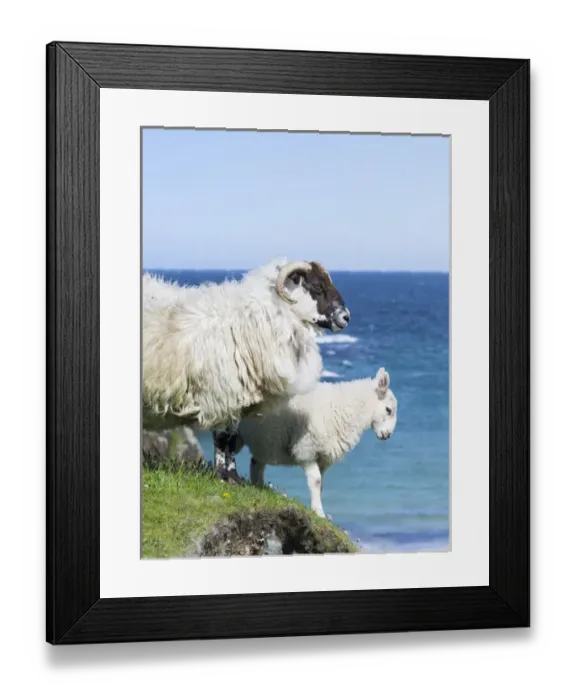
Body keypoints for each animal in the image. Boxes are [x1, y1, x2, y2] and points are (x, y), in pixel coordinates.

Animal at [142, 257, 350, 482]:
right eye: (317, 286)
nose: (346, 317)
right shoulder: (220, 396)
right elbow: (222, 437)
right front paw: (222, 475)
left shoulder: (238, 399)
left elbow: (232, 439)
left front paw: (233, 477)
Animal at [235, 368, 398, 518]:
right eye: (388, 410)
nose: (387, 435)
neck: (344, 408)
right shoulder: (307, 450)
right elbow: (316, 481)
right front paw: (319, 512)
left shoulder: (323, 458)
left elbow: (321, 485)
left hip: (264, 442)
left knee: (256, 463)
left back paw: (258, 486)